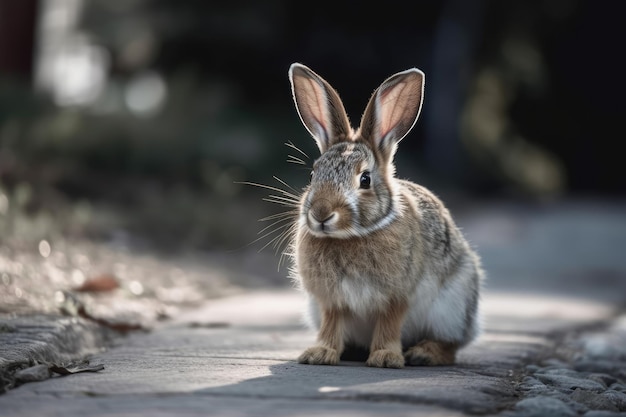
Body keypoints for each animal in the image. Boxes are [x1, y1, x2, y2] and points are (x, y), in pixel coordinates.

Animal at [288, 62, 482, 368]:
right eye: (313, 174)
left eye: (365, 180)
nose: (321, 213)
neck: (351, 236)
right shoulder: (331, 300)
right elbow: (332, 324)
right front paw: (319, 354)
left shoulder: (397, 297)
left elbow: (389, 324)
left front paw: (386, 358)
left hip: (453, 307)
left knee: (451, 346)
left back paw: (424, 353)